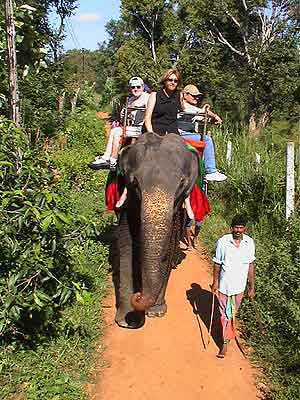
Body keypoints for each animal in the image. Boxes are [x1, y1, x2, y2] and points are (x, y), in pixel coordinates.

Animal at [115, 131, 199, 328]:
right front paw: (126, 320)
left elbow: (169, 247)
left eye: (181, 184)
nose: (138, 295)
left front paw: (156, 312)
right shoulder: (129, 198)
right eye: (135, 183)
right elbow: (126, 243)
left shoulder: (177, 210)